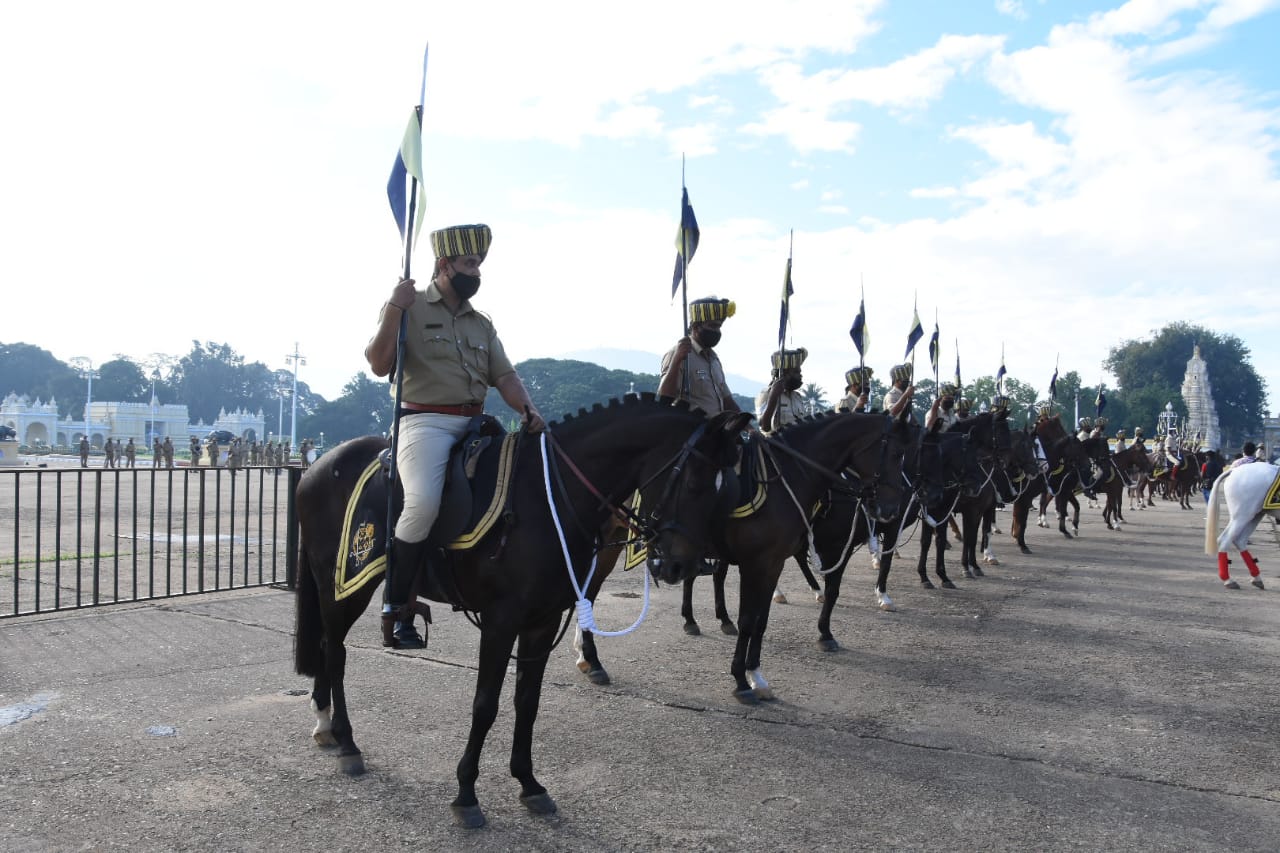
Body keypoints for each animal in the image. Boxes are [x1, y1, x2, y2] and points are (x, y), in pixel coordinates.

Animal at [290, 394, 747, 824]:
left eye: (726, 487)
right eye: (694, 483)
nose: (681, 565)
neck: (549, 497)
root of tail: (315, 468)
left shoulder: (542, 621)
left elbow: (527, 702)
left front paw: (528, 782)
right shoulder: (500, 622)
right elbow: (485, 704)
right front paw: (467, 793)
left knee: (328, 648)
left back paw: (326, 723)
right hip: (344, 586)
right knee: (335, 653)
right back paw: (346, 739)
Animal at [1198, 461, 1280, 589]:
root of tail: (1234, 470)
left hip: (1254, 515)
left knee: (1240, 540)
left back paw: (1256, 578)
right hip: (1242, 516)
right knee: (1225, 540)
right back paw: (1228, 580)